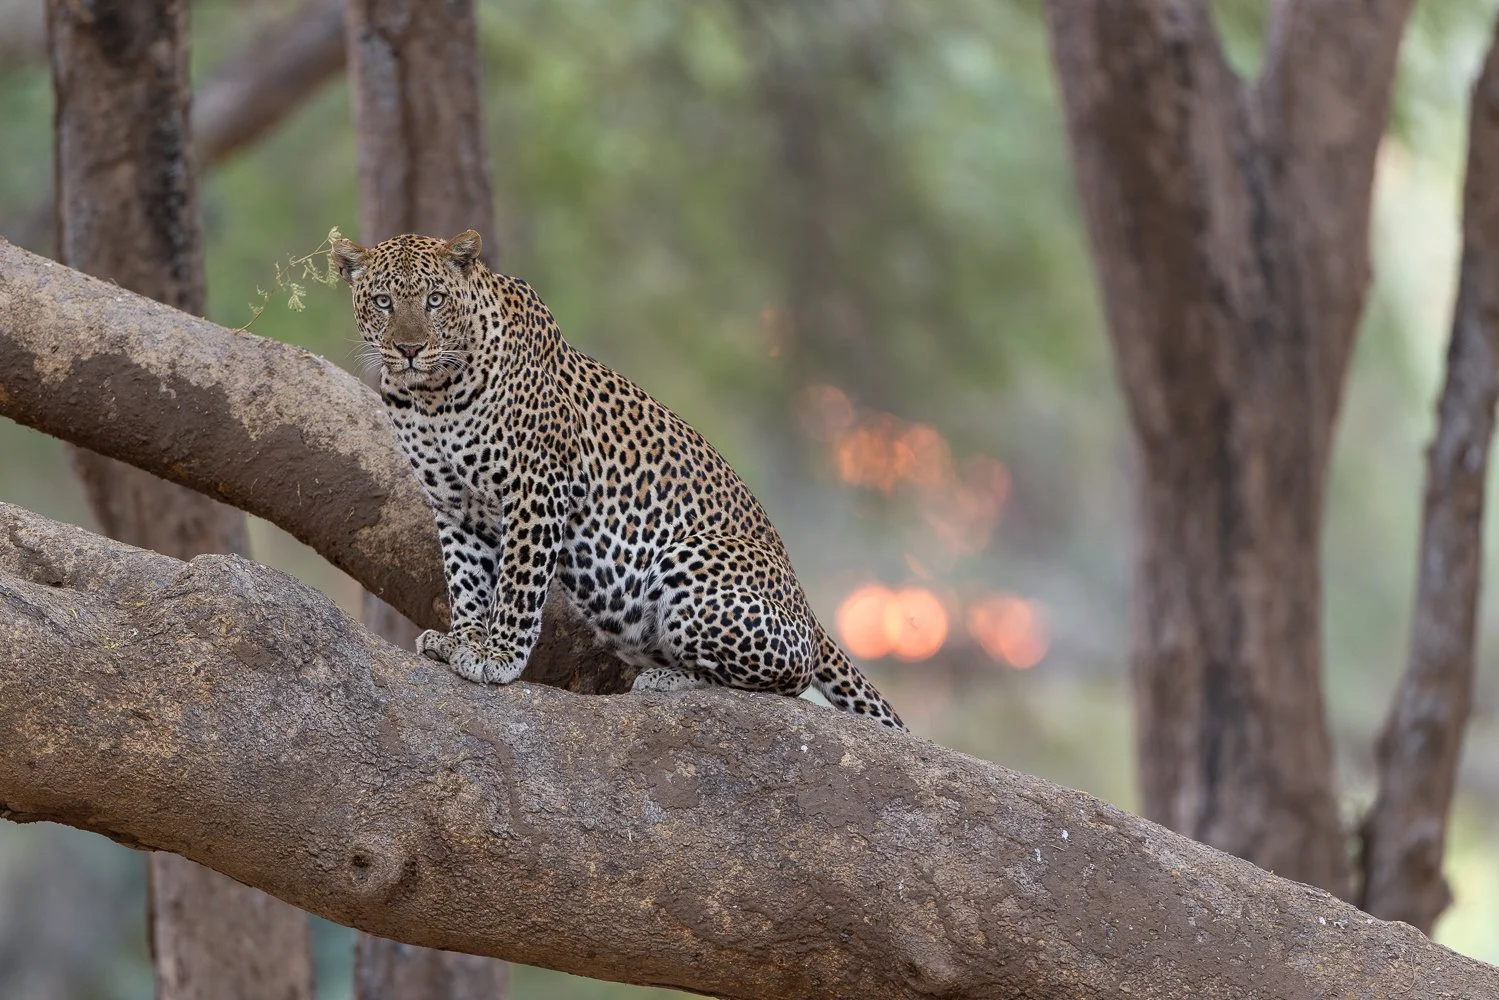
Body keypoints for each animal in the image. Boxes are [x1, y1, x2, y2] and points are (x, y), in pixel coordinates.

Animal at [332, 229, 905, 731]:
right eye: (383, 301)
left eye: (434, 300)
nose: (409, 349)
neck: (432, 396)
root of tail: (809, 609)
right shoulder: (455, 504)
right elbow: (466, 578)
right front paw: (463, 641)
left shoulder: (536, 485)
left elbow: (517, 580)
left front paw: (499, 655)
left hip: (691, 562)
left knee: (788, 679)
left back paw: (670, 679)